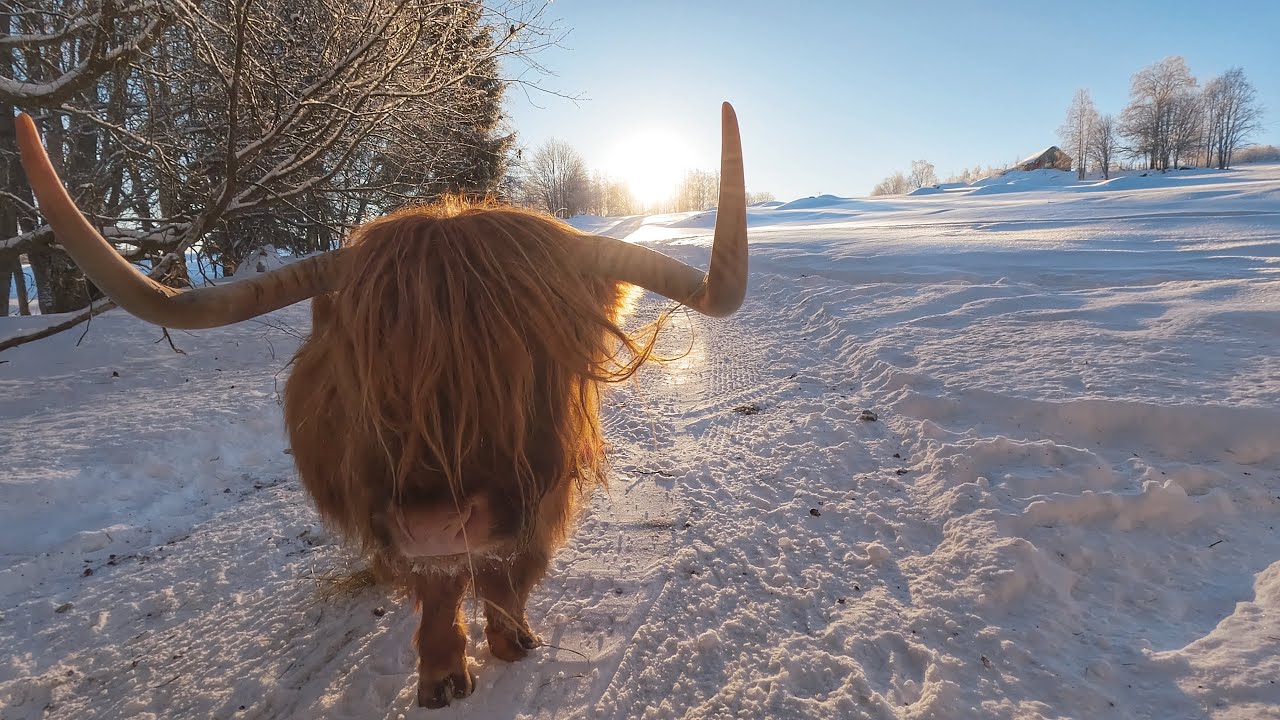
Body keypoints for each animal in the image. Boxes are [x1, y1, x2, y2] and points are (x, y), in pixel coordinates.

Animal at [14, 103, 747, 708]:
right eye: (363, 364)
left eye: (530, 357)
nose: (436, 521)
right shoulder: (387, 511)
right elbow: (439, 589)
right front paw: (444, 672)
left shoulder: (542, 497)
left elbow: (508, 572)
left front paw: (513, 639)